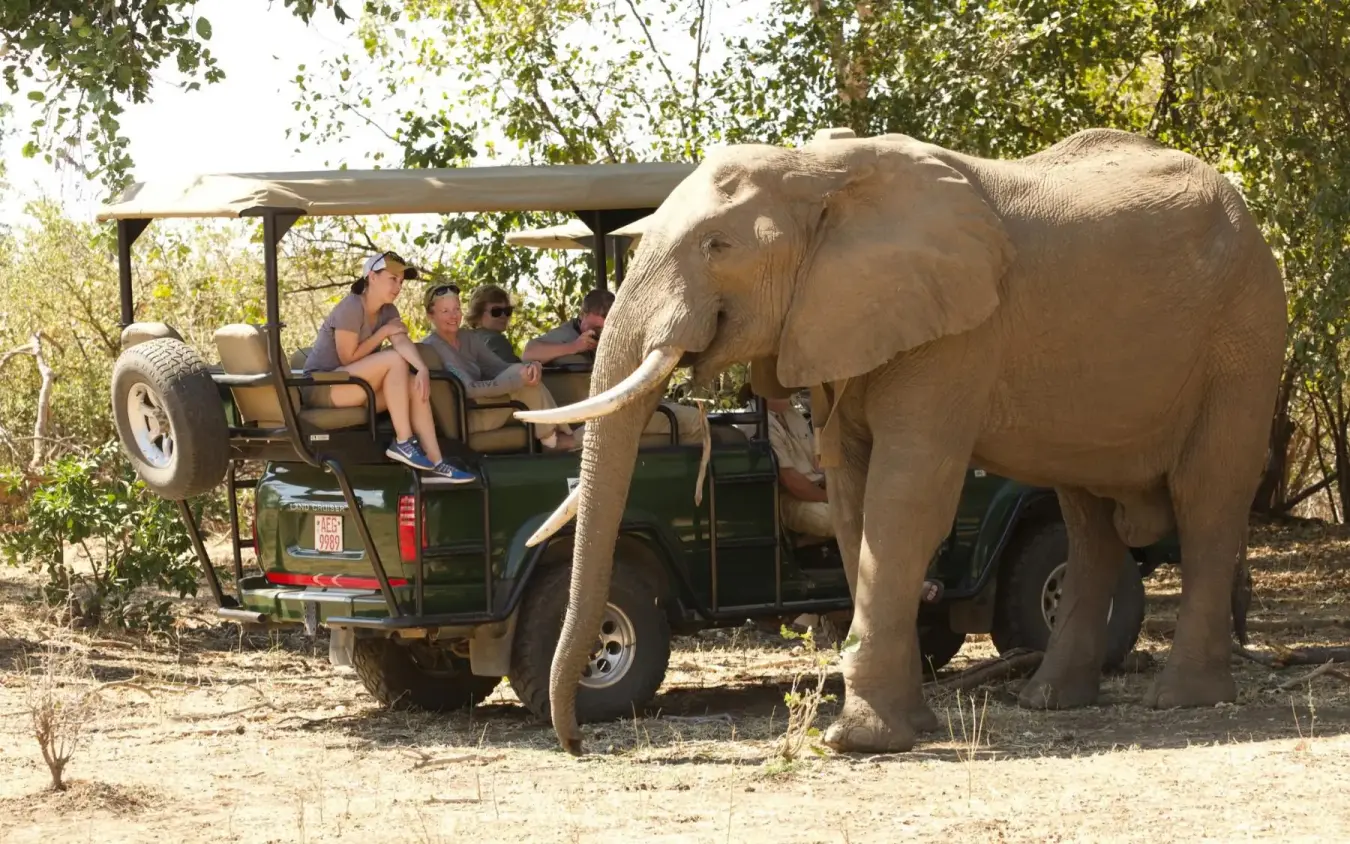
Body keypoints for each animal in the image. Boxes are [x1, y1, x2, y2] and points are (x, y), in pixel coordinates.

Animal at [516, 126, 1288, 755]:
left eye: (717, 247)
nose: (577, 742)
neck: (817, 173)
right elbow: (852, 492)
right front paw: (905, 725)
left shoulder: (958, 332)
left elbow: (908, 492)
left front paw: (858, 741)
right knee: (1086, 517)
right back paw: (1047, 698)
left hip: (1244, 333)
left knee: (1206, 497)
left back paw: (1181, 699)